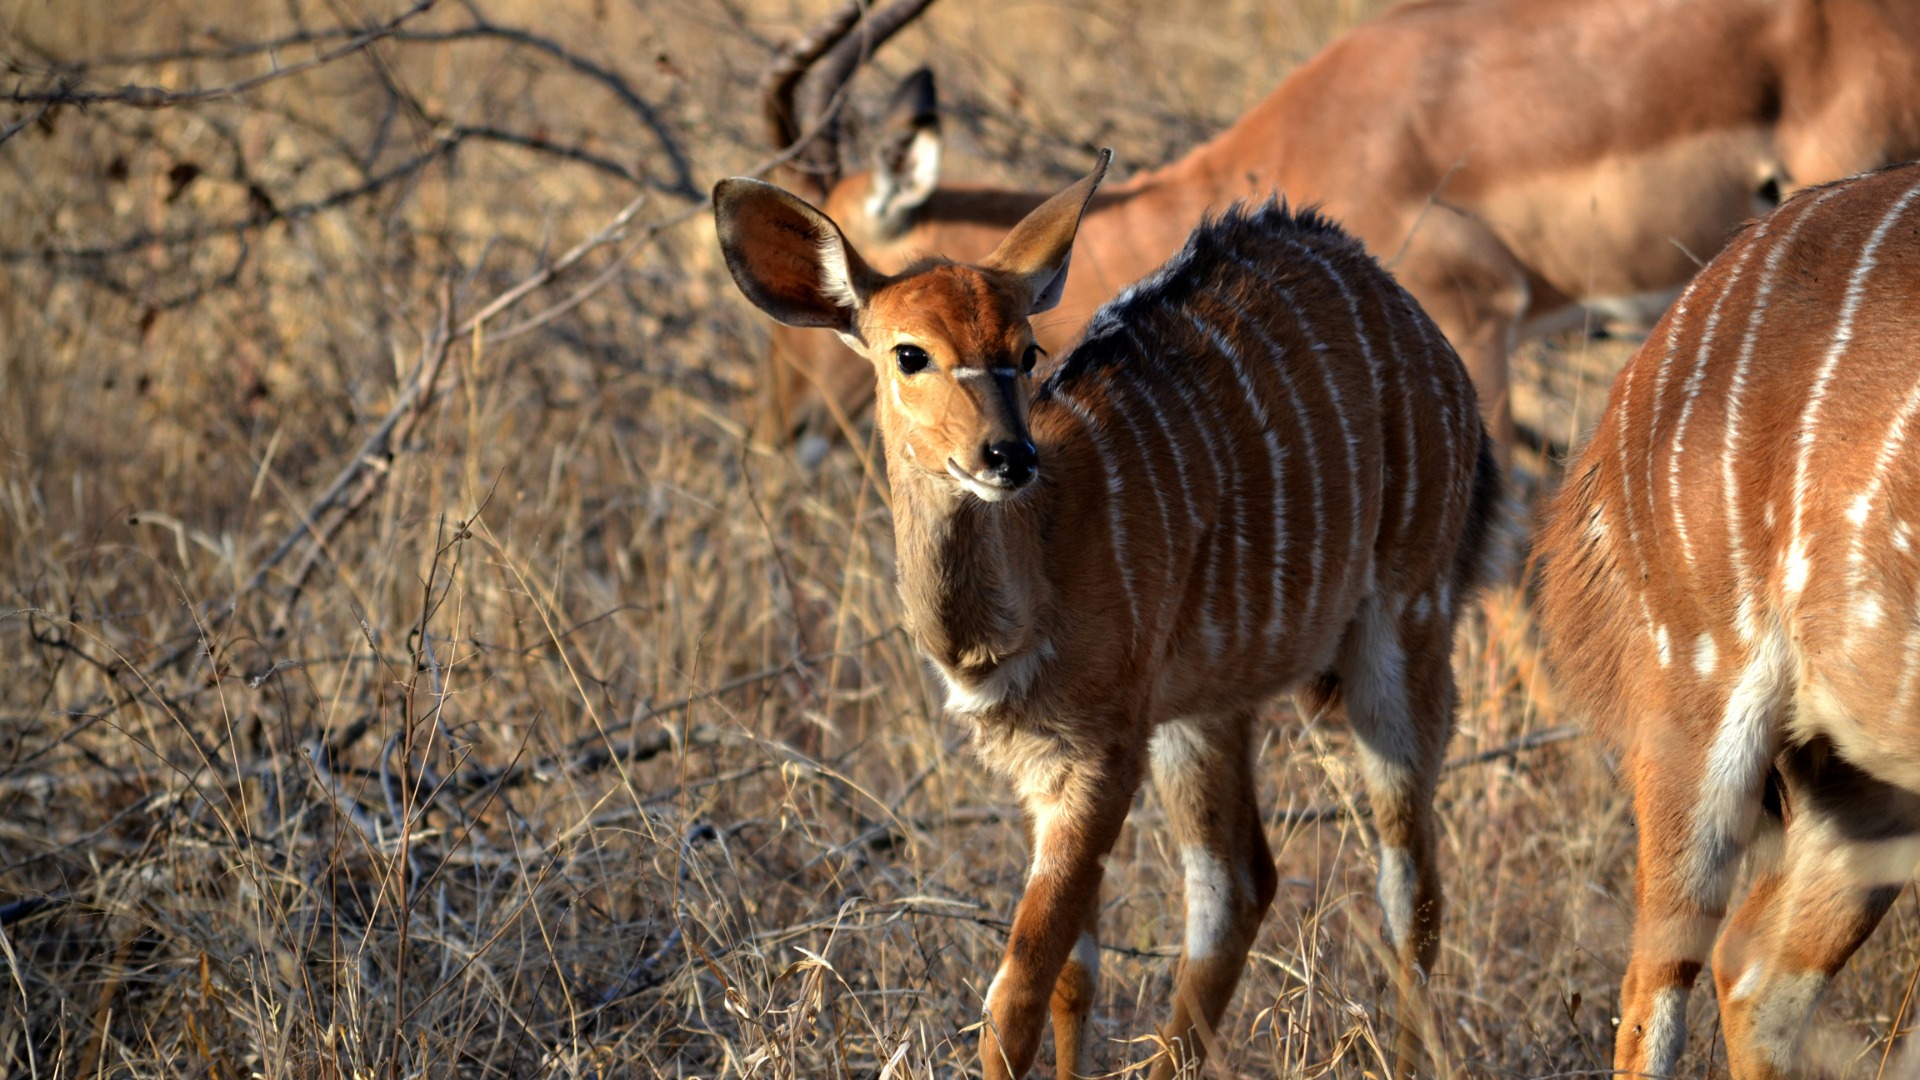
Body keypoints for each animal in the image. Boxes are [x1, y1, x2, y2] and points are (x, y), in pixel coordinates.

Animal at [713, 151, 1501, 1078]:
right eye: (909, 354)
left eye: (1026, 351)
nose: (1006, 456)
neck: (1034, 573)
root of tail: (1420, 330)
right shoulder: (1043, 765)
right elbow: (1072, 975)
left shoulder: (1100, 754)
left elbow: (1013, 995)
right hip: (1205, 706)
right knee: (1236, 886)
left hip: (1404, 627)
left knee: (1409, 889)